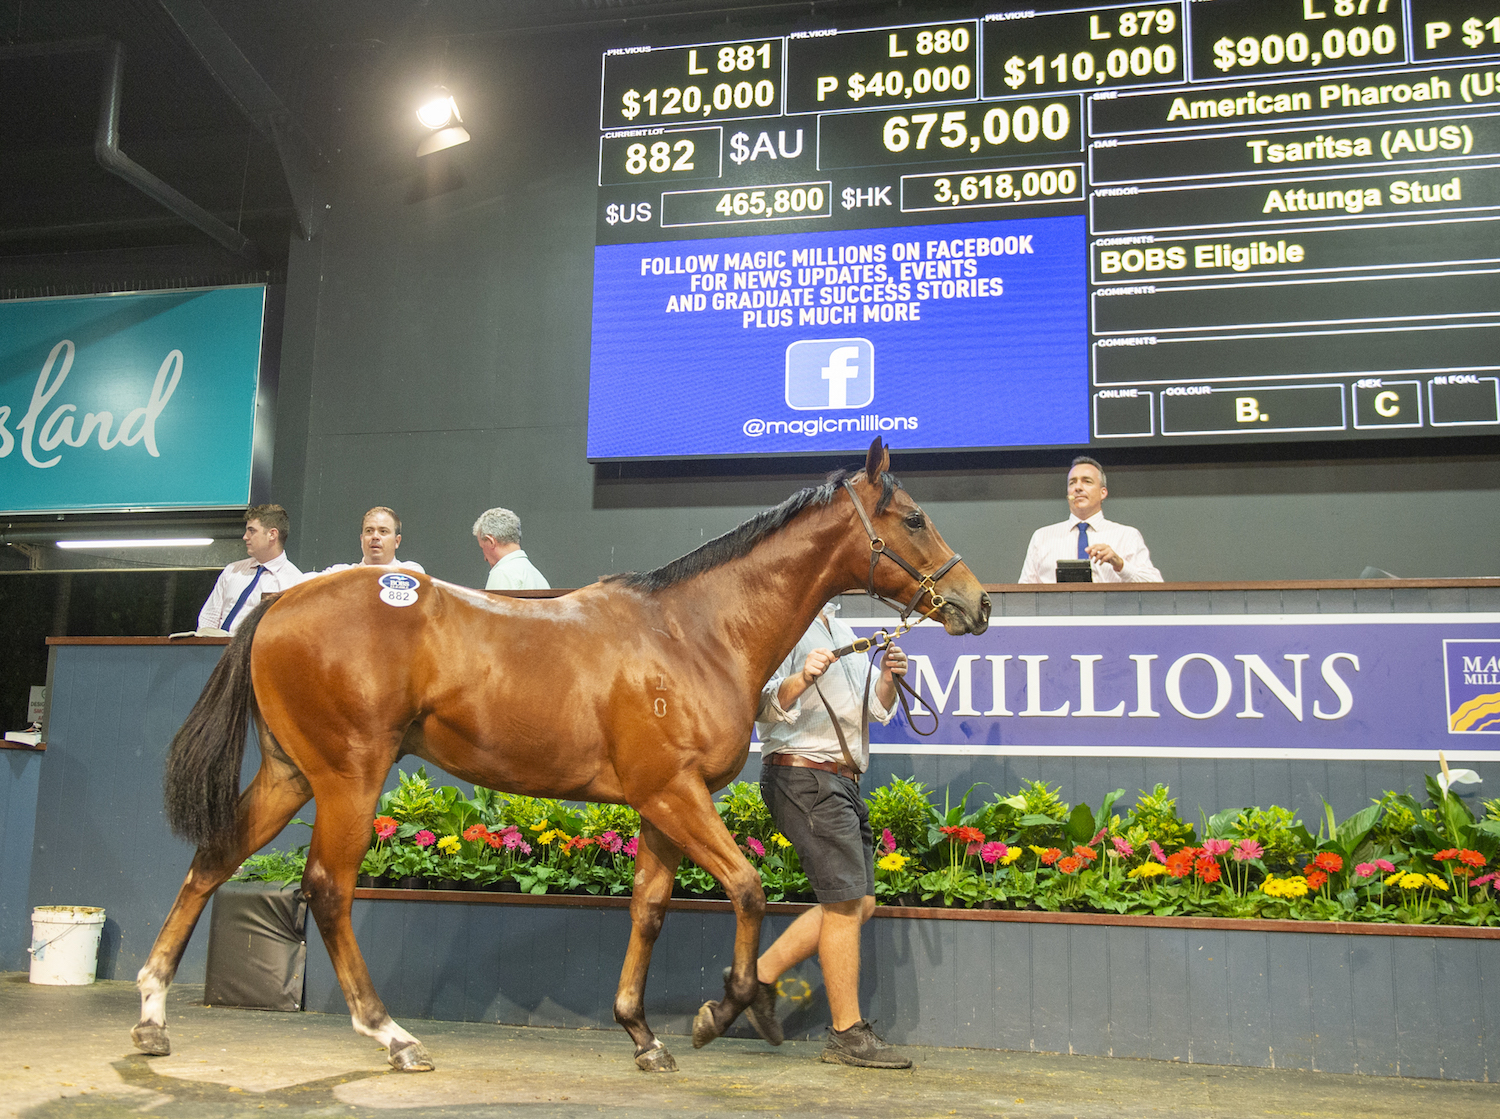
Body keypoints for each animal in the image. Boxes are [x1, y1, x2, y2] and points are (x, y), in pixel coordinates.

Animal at [138, 438, 984, 1074]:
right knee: (326, 888)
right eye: (913, 517)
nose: (976, 603)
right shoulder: (674, 791)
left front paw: (642, 1034)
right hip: (350, 774)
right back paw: (392, 1035)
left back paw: (151, 1017)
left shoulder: (661, 805)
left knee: (213, 859)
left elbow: (649, 909)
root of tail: (282, 599)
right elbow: (747, 888)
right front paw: (723, 1008)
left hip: (291, 773)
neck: (693, 633)